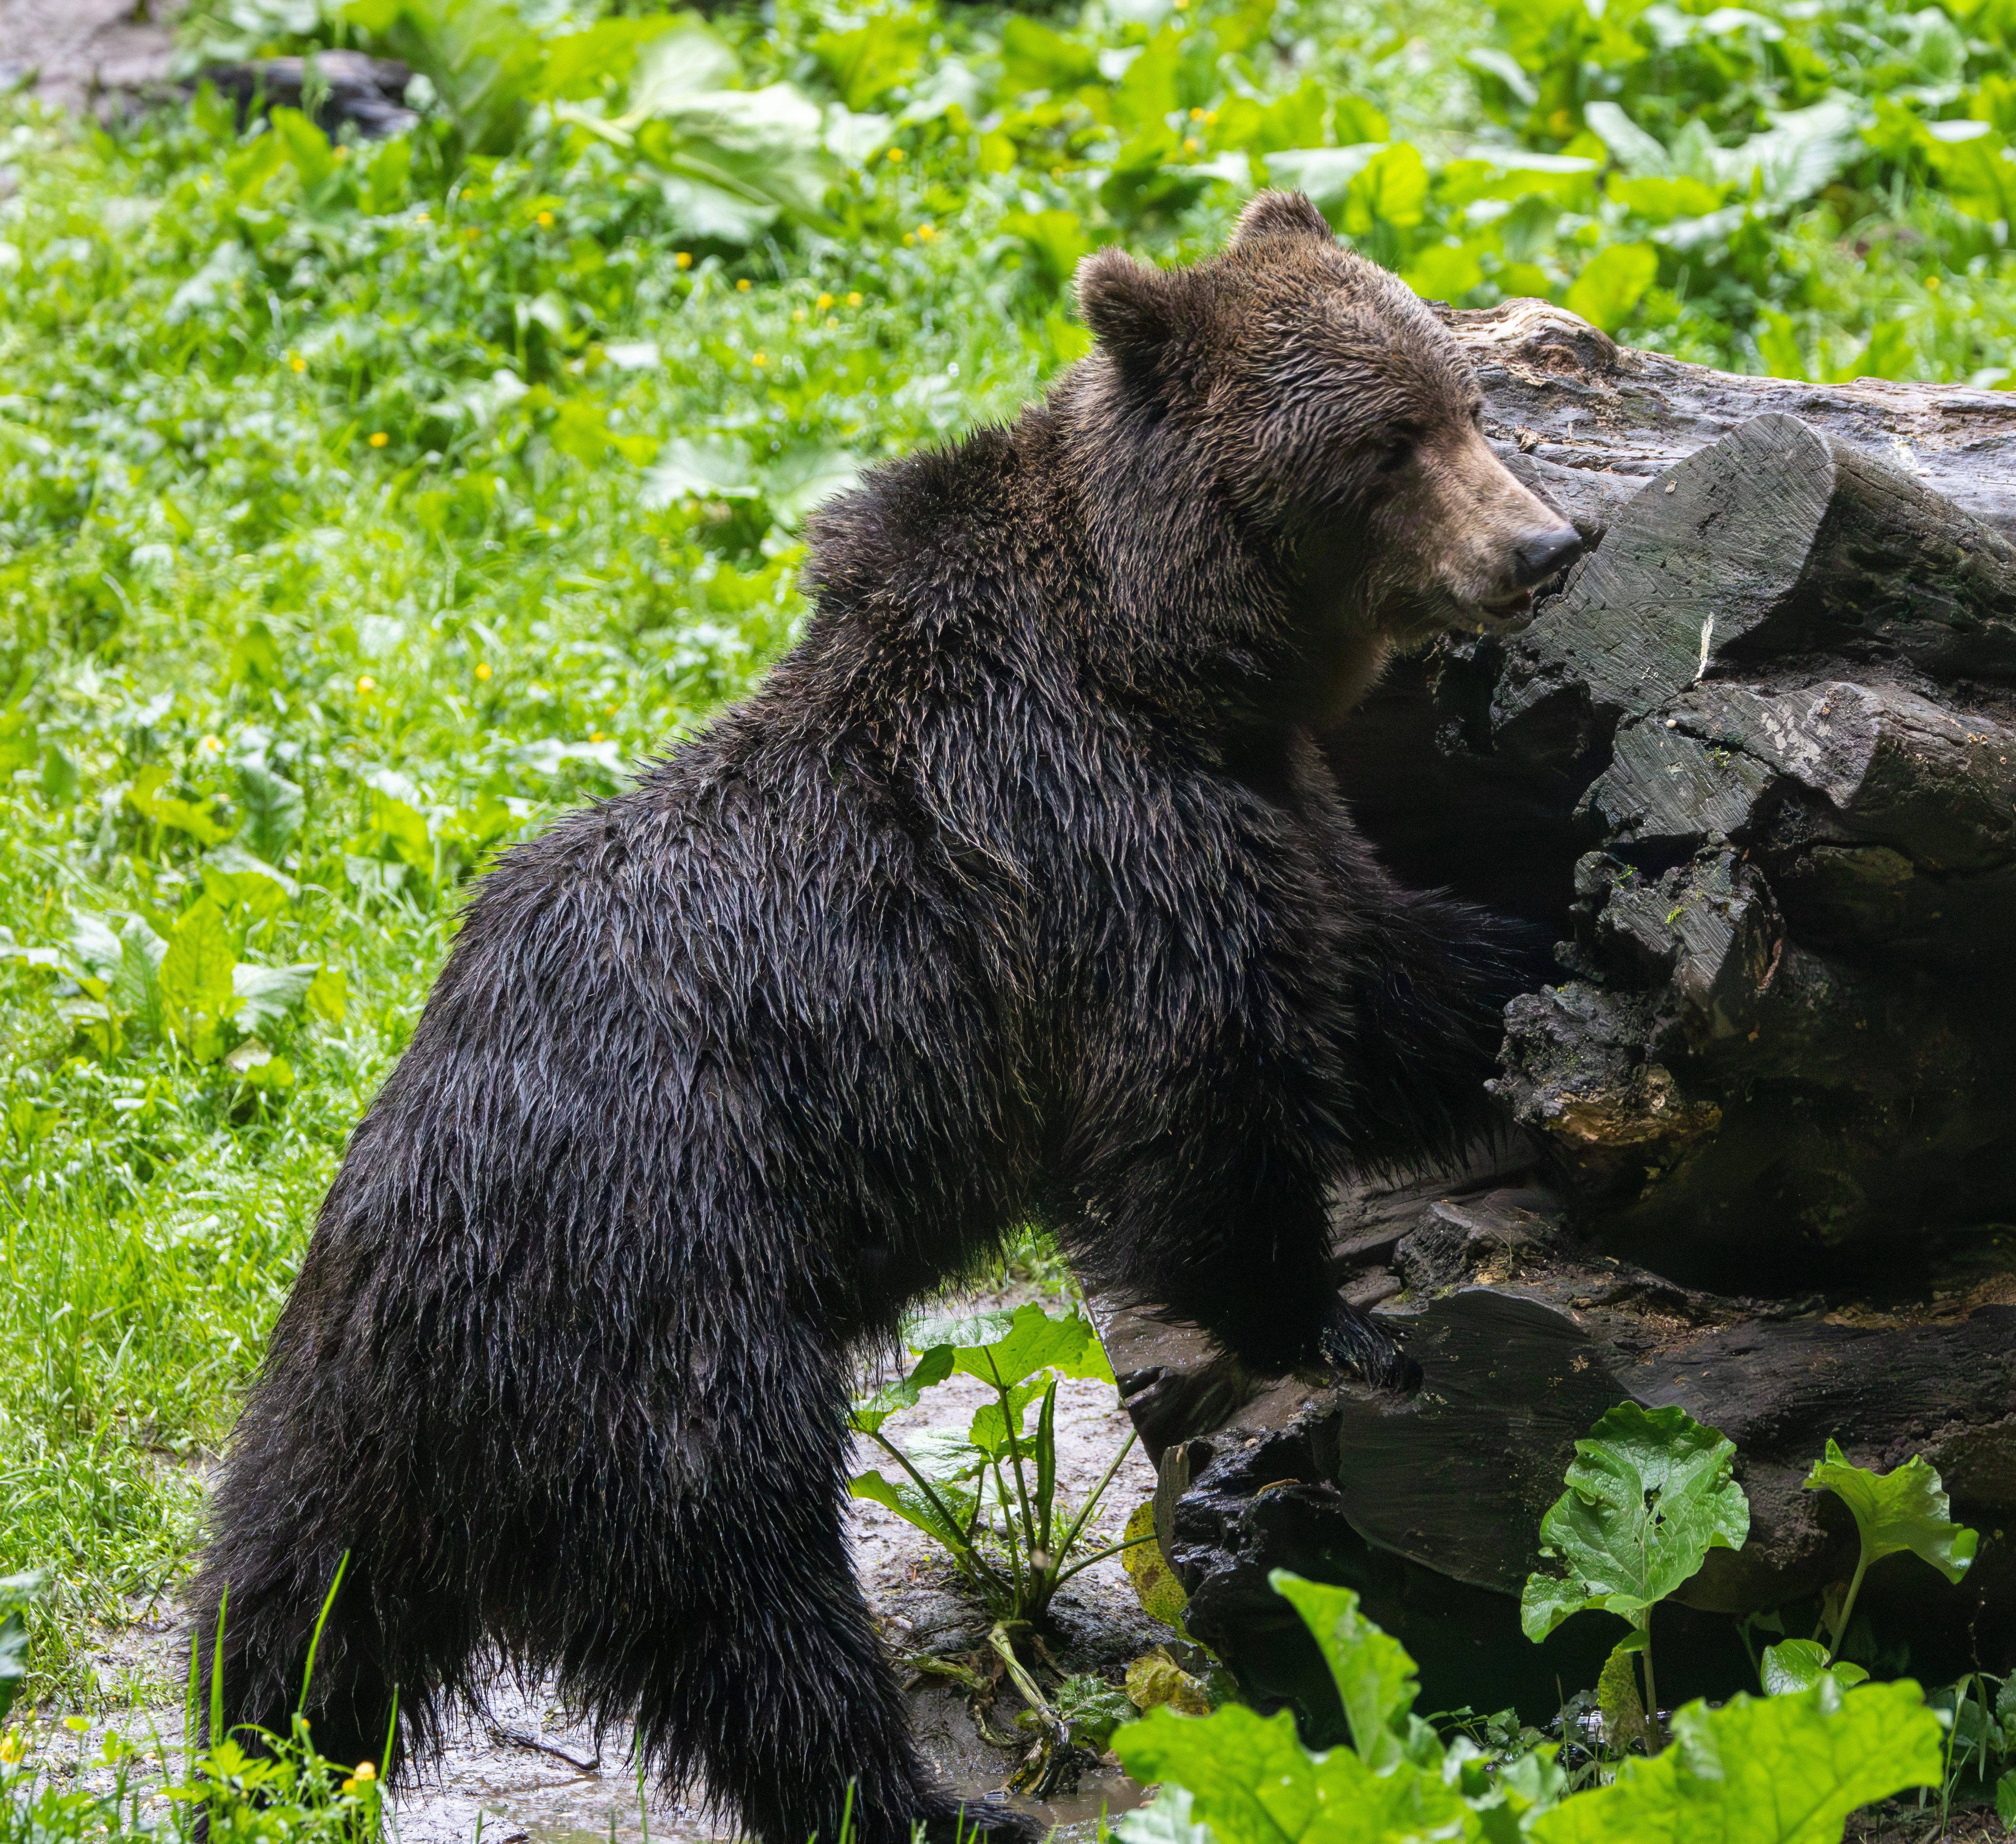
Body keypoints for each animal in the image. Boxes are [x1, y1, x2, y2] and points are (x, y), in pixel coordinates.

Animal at [189, 191, 1580, 1844]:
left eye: (1466, 401)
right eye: (1388, 441)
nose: (1545, 544)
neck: (1171, 656)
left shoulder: (1264, 806)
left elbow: (1385, 984)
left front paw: (1566, 966)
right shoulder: (1096, 841)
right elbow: (1200, 1099)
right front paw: (1335, 1318)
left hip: (331, 1416)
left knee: (285, 1619)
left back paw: (264, 1764)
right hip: (662, 1327)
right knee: (752, 1603)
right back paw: (924, 1799)